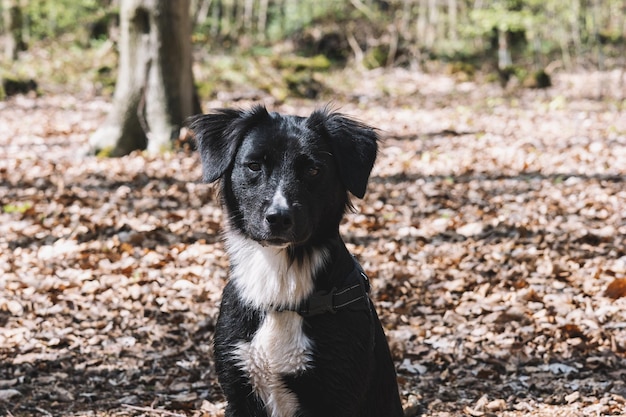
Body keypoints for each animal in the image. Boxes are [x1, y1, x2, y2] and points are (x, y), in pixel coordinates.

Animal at [188, 105, 402, 414]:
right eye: (254, 166)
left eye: (313, 170)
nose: (278, 218)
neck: (280, 274)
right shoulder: (238, 389)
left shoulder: (337, 394)